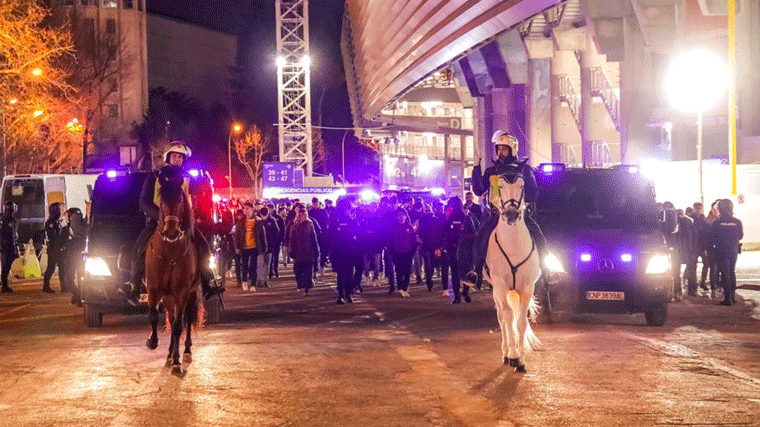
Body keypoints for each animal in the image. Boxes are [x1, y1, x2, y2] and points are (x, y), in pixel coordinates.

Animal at [145, 167, 199, 374]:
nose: (171, 231)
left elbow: (177, 326)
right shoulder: (154, 289)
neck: (169, 253)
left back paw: (185, 352)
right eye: (161, 201)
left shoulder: (182, 291)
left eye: (181, 201)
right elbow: (153, 315)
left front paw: (177, 362)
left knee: (187, 318)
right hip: (168, 296)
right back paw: (168, 353)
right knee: (172, 314)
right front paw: (152, 342)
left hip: (192, 292)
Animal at [486, 172, 540, 372]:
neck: (513, 244)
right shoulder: (500, 284)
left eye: (521, 185)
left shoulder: (527, 287)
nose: (511, 214)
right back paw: (505, 353)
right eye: (500, 186)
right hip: (496, 290)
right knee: (502, 317)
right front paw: (514, 355)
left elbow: (522, 322)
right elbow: (508, 317)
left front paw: (522, 360)